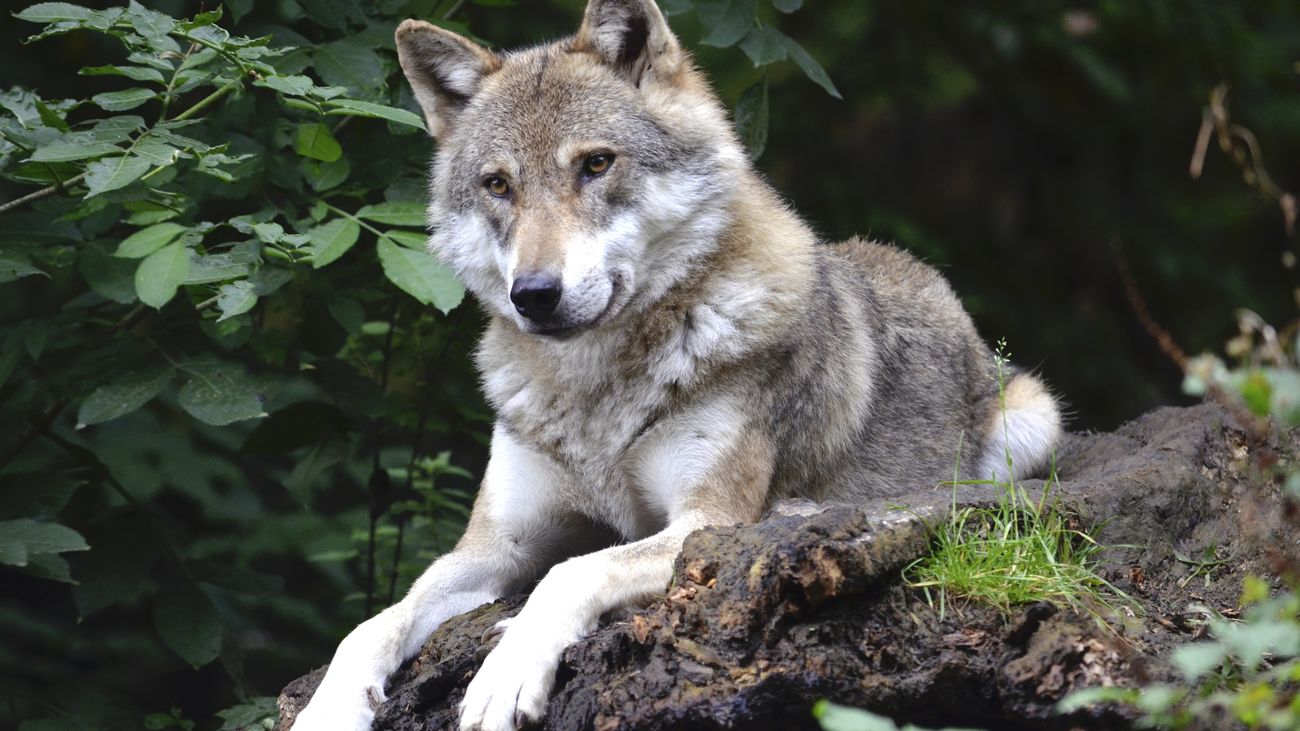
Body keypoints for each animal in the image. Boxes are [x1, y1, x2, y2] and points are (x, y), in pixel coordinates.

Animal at [291, 0, 1062, 729]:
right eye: (498, 185)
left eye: (596, 164)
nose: (534, 295)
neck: (595, 393)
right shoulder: (494, 545)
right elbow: (374, 621)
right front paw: (327, 708)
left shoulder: (706, 523)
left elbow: (570, 572)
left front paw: (505, 675)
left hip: (1031, 422)